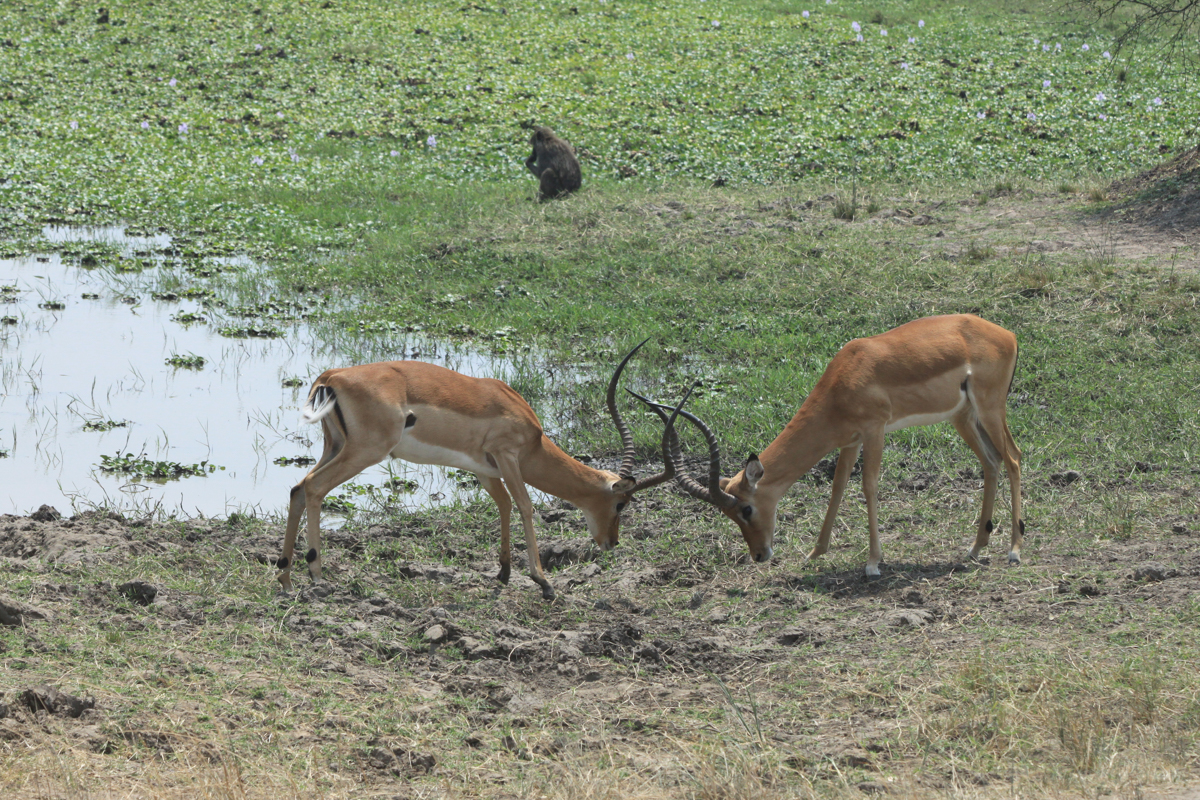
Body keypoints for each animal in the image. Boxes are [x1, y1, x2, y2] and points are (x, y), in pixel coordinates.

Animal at [276, 342, 679, 600]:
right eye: (621, 504)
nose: (612, 542)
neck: (532, 434)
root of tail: (333, 376)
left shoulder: (485, 468)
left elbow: (503, 504)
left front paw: (504, 572)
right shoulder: (507, 455)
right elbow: (525, 506)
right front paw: (544, 582)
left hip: (335, 446)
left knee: (297, 489)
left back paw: (285, 577)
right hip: (365, 451)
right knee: (314, 488)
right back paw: (315, 573)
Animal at [635, 314, 1024, 577]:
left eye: (746, 509)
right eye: (729, 513)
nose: (760, 555)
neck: (844, 379)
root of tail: (1007, 334)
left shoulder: (874, 430)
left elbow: (868, 486)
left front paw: (872, 563)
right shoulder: (850, 440)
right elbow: (837, 487)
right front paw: (815, 553)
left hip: (989, 409)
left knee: (1014, 459)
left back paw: (1015, 551)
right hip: (963, 417)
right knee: (991, 462)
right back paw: (976, 547)